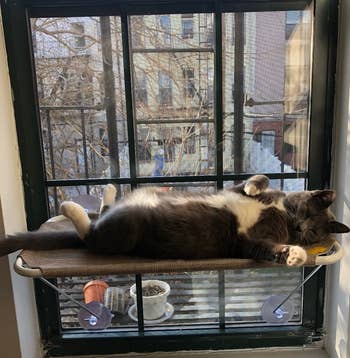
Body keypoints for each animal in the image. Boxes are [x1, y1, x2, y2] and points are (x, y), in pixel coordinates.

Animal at [0, 176, 348, 266]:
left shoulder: (247, 243)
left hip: (128, 228)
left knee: (93, 237)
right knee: (96, 226)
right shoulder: (234, 189)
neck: (278, 210)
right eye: (305, 212)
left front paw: (294, 254)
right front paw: (254, 187)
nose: (299, 229)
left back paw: (73, 205)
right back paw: (100, 192)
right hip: (128, 216)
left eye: (312, 233)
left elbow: (265, 248)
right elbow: (254, 180)